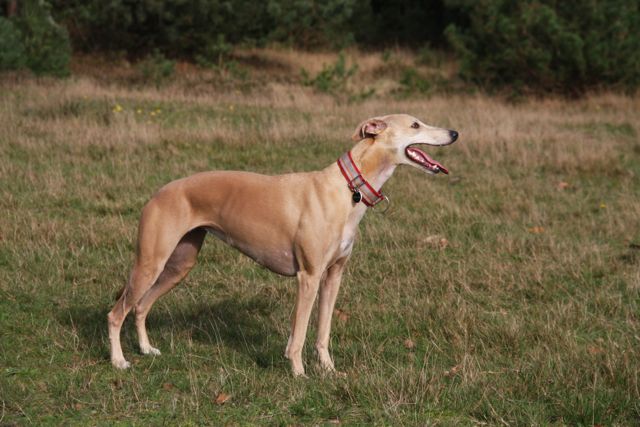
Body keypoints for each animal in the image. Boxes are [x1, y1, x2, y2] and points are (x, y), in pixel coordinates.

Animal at [107, 114, 458, 376]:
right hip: (150, 262)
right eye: (415, 124)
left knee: (140, 306)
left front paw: (329, 370)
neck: (348, 188)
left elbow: (323, 331)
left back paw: (146, 349)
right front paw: (299, 373)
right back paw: (119, 361)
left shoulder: (333, 276)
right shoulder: (308, 276)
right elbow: (299, 333)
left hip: (179, 263)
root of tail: (157, 193)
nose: (454, 132)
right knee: (116, 313)